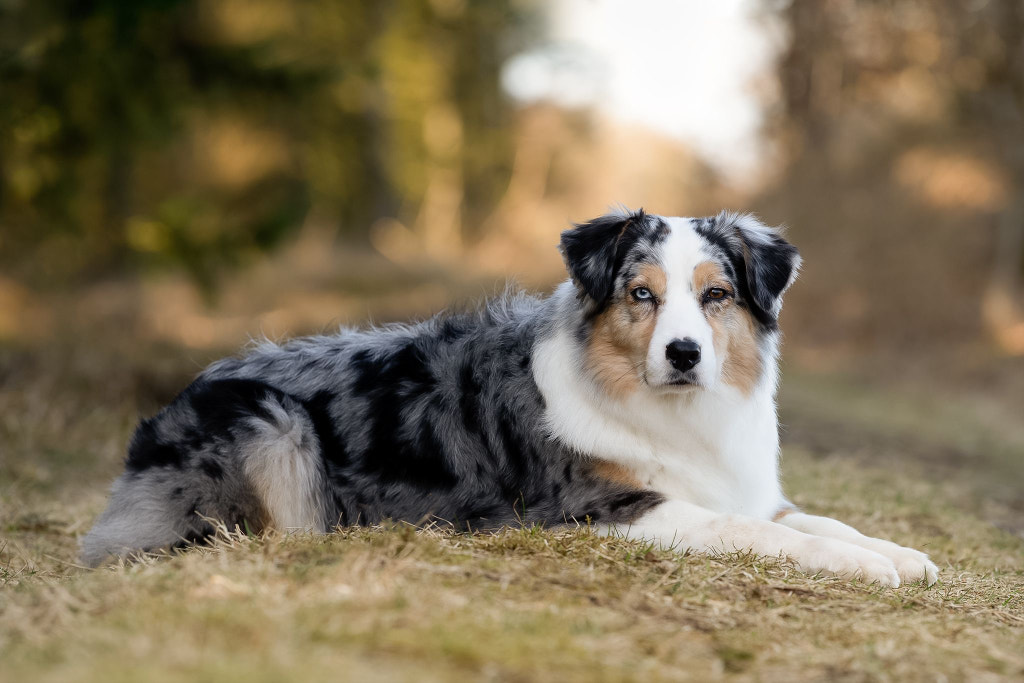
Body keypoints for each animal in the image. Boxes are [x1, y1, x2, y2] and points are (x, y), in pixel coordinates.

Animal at [83, 209, 937, 589]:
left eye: (717, 295)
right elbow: (755, 531)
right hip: (274, 420)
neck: (669, 410)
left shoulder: (749, 485)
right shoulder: (606, 506)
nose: (685, 354)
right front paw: (859, 563)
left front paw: (898, 551)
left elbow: (811, 517)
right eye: (641, 294)